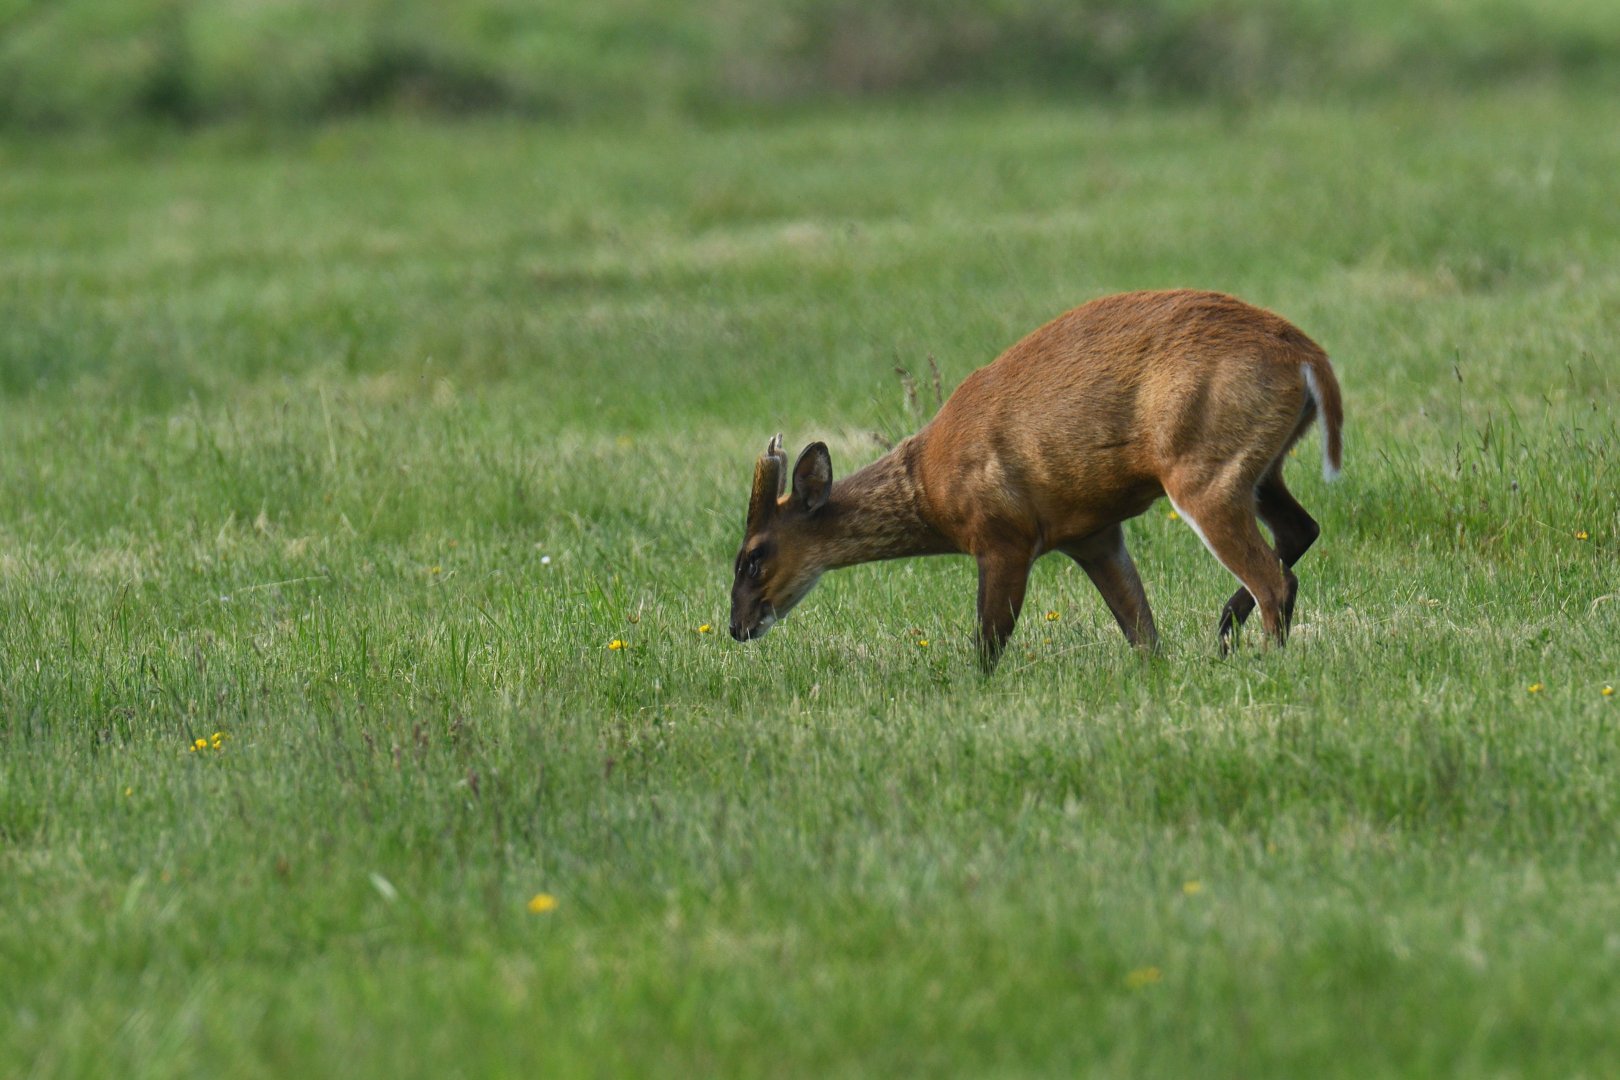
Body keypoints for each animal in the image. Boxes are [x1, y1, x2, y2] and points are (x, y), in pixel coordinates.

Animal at [729, 289, 1343, 672]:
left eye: (752, 557)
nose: (736, 627)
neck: (931, 492)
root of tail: (1311, 357)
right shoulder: (1092, 534)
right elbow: (1142, 632)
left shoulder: (1004, 534)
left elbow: (988, 641)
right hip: (1258, 466)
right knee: (1301, 529)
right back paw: (1225, 629)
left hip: (1201, 470)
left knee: (1276, 580)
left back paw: (1260, 657)